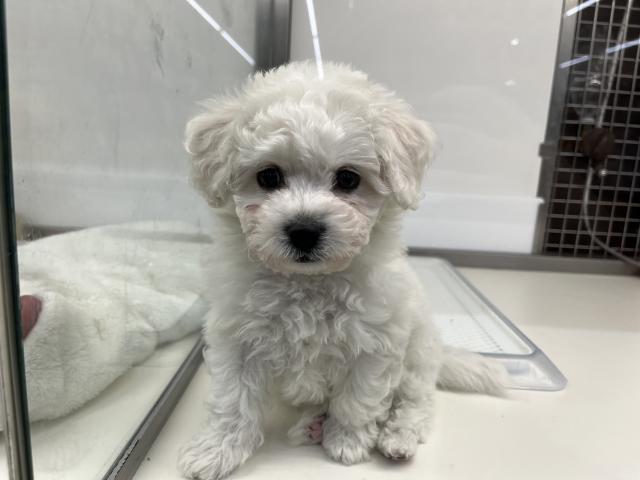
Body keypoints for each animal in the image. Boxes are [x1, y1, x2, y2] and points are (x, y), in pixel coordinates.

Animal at [178, 62, 506, 480]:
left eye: (348, 178)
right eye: (269, 176)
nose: (304, 230)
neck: (308, 283)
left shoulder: (376, 341)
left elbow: (358, 399)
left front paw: (347, 442)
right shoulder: (237, 337)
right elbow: (232, 400)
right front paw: (215, 451)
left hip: (418, 353)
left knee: (416, 401)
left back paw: (396, 438)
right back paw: (312, 423)